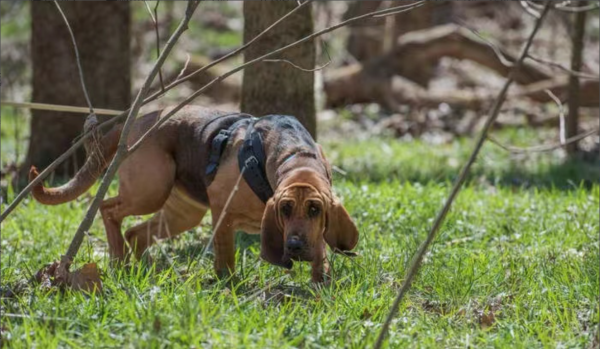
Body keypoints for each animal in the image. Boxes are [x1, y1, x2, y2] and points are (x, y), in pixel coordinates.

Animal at [30, 104, 358, 282]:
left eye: (315, 210)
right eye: (285, 209)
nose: (295, 246)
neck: (294, 155)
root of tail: (141, 119)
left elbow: (321, 256)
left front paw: (320, 284)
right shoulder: (222, 214)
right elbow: (225, 257)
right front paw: (229, 285)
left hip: (183, 213)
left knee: (136, 233)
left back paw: (143, 268)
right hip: (150, 191)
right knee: (108, 209)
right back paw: (118, 260)